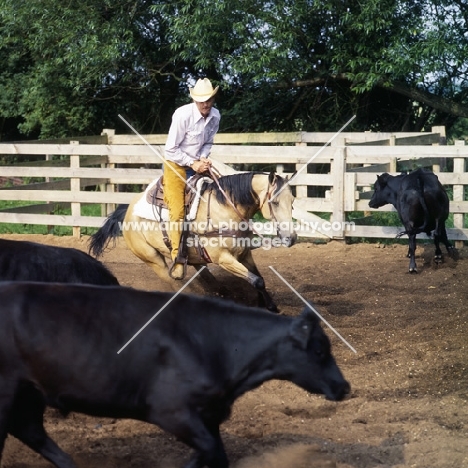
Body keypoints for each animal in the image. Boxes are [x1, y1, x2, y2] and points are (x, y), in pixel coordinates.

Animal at [0, 282, 352, 468]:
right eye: (319, 350)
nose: (344, 386)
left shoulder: (209, 415)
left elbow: (211, 453)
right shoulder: (170, 411)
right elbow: (212, 452)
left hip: (29, 393)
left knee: (30, 431)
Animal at [89, 171, 296, 310]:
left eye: (292, 201)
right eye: (275, 202)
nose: (292, 238)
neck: (225, 209)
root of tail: (127, 211)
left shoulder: (244, 254)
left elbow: (258, 278)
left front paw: (268, 305)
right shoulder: (224, 259)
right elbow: (257, 280)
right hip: (152, 259)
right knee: (173, 281)